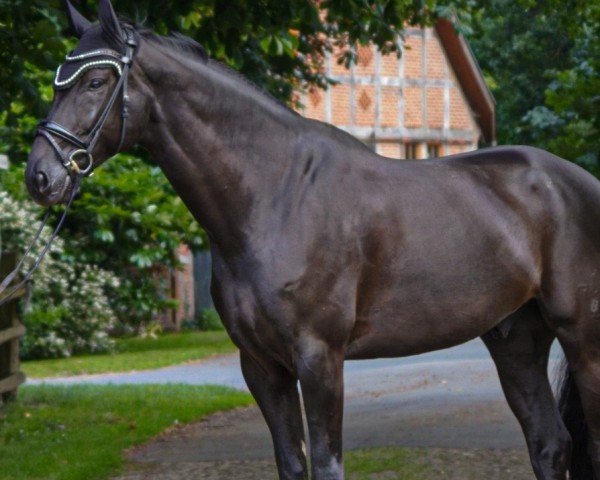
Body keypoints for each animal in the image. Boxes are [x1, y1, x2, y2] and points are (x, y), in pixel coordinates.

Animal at [24, 1, 600, 478]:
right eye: (56, 82)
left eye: (97, 81)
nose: (40, 176)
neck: (274, 195)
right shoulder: (261, 365)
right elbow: (291, 464)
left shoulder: (320, 358)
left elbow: (326, 466)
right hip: (516, 341)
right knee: (551, 444)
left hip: (583, 339)